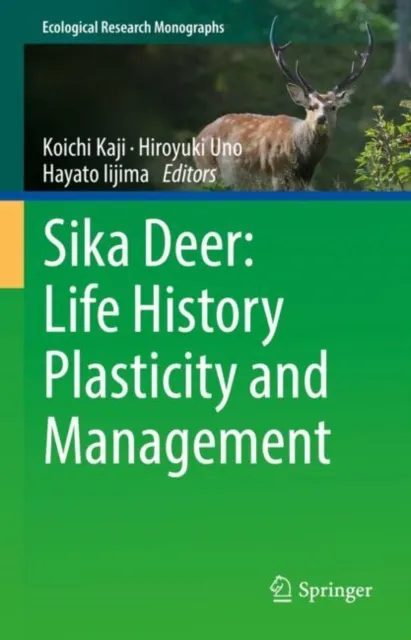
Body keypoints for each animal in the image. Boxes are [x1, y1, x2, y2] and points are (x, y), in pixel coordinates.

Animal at [194, 17, 374, 191]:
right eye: (310, 107)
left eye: (333, 107)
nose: (321, 119)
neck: (303, 165)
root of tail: (198, 137)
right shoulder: (276, 174)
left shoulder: (305, 182)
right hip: (209, 170)